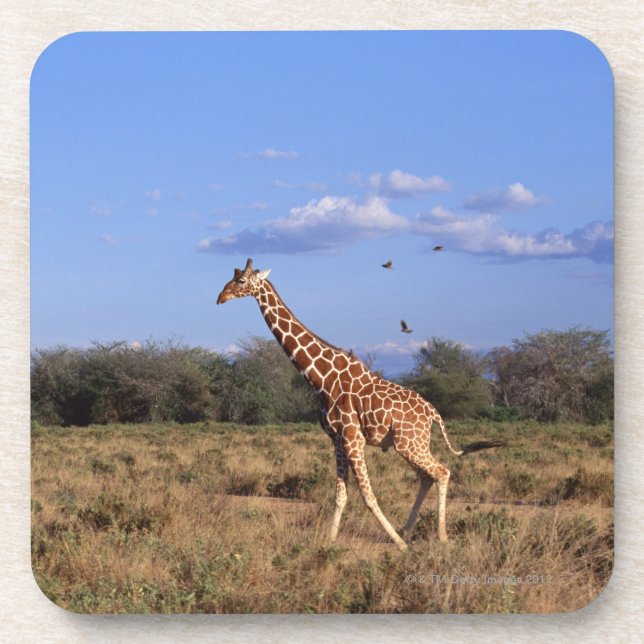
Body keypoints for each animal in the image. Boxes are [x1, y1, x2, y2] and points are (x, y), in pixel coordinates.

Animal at [216, 258, 505, 551]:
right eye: (232, 277)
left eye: (241, 281)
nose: (220, 298)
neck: (322, 379)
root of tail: (434, 413)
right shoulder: (337, 440)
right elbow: (340, 496)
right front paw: (329, 542)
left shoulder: (353, 438)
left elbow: (368, 496)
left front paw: (398, 545)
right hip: (409, 444)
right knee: (427, 476)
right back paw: (407, 530)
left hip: (409, 443)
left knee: (442, 471)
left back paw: (439, 536)